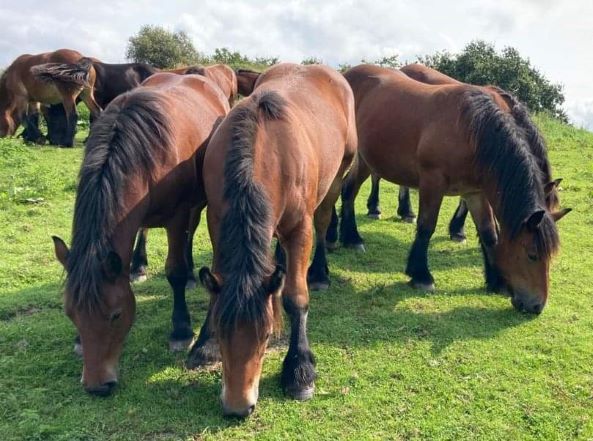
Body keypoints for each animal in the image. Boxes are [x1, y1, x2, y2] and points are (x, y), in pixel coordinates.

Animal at [52, 71, 230, 396]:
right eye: (71, 313)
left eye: (116, 314)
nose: (97, 386)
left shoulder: (177, 215)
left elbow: (174, 270)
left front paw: (181, 329)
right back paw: (140, 264)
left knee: (191, 230)